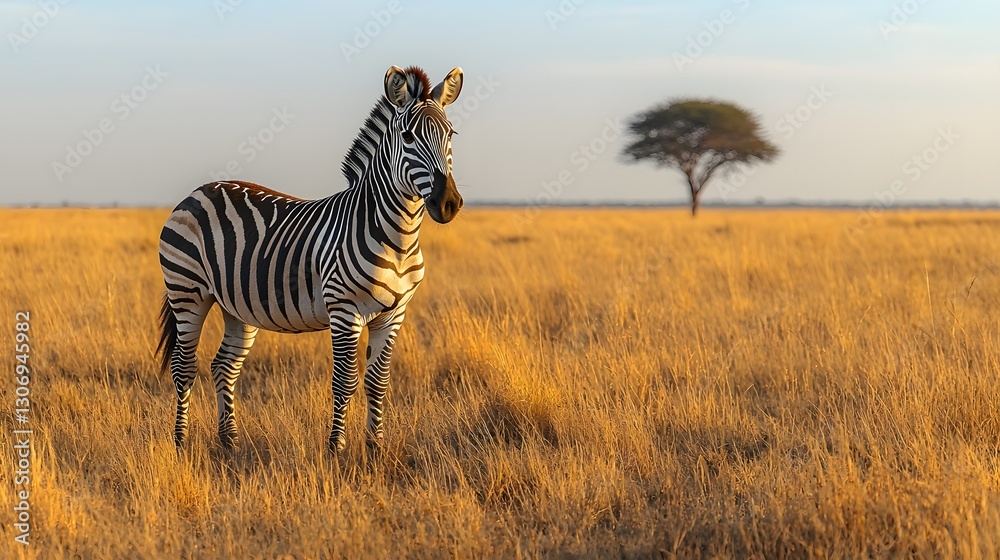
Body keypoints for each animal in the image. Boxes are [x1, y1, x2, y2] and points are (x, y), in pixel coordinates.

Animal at [156, 65, 464, 453]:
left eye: (450, 134)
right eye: (407, 137)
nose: (448, 203)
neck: (399, 238)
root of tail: (198, 191)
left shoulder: (394, 314)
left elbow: (378, 382)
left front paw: (375, 447)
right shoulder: (345, 310)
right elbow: (344, 381)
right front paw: (336, 448)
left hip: (236, 305)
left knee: (223, 366)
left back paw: (230, 441)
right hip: (187, 291)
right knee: (184, 367)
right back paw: (180, 443)